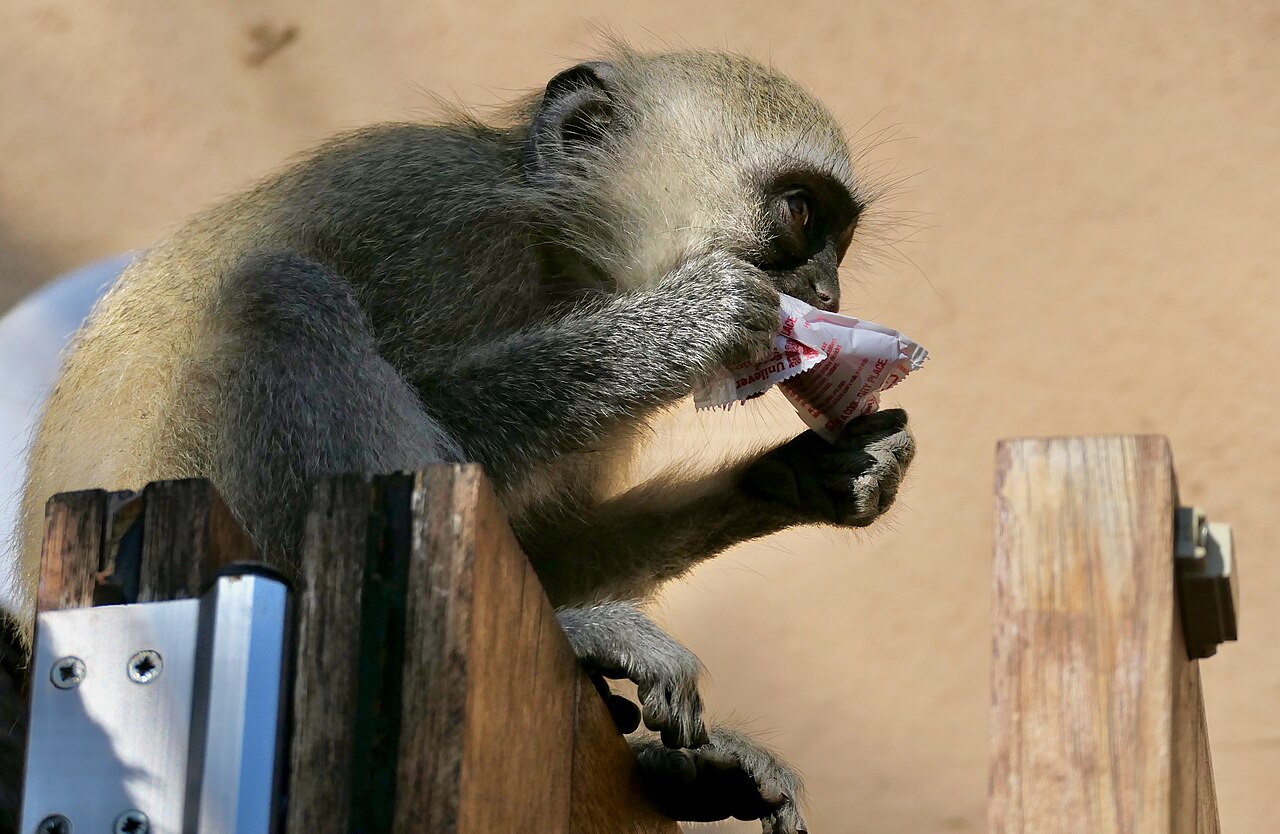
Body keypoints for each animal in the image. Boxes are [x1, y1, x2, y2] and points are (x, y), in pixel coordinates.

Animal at [15, 46, 915, 833]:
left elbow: (540, 546)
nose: (828, 292)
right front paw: (680, 328)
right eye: (800, 213)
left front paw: (809, 475)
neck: (559, 256)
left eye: (840, 240)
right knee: (278, 295)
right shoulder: (443, 232)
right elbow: (439, 400)